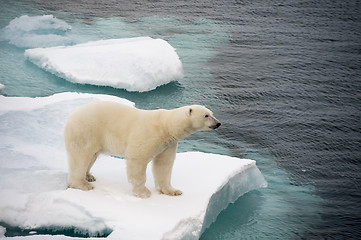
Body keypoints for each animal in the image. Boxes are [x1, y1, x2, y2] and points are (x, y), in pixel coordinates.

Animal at [64, 102, 219, 198]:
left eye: (212, 113)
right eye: (206, 115)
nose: (218, 123)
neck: (166, 126)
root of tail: (71, 115)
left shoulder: (168, 144)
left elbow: (164, 165)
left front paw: (172, 191)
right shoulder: (148, 135)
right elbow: (138, 159)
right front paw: (143, 193)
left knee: (92, 156)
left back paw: (89, 175)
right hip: (86, 130)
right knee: (81, 156)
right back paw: (82, 184)